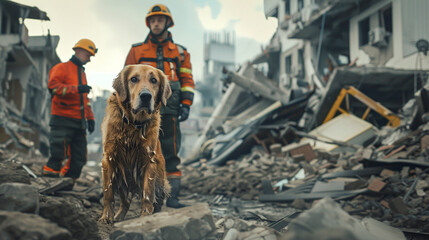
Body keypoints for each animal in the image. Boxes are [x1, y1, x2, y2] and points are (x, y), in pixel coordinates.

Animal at [98, 64, 171, 223]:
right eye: (133, 79)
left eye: (154, 80)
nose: (145, 96)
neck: (133, 123)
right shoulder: (109, 159)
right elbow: (108, 193)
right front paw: (106, 217)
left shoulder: (149, 161)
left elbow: (148, 195)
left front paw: (145, 217)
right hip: (121, 175)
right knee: (125, 202)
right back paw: (118, 217)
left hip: (160, 180)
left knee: (157, 200)